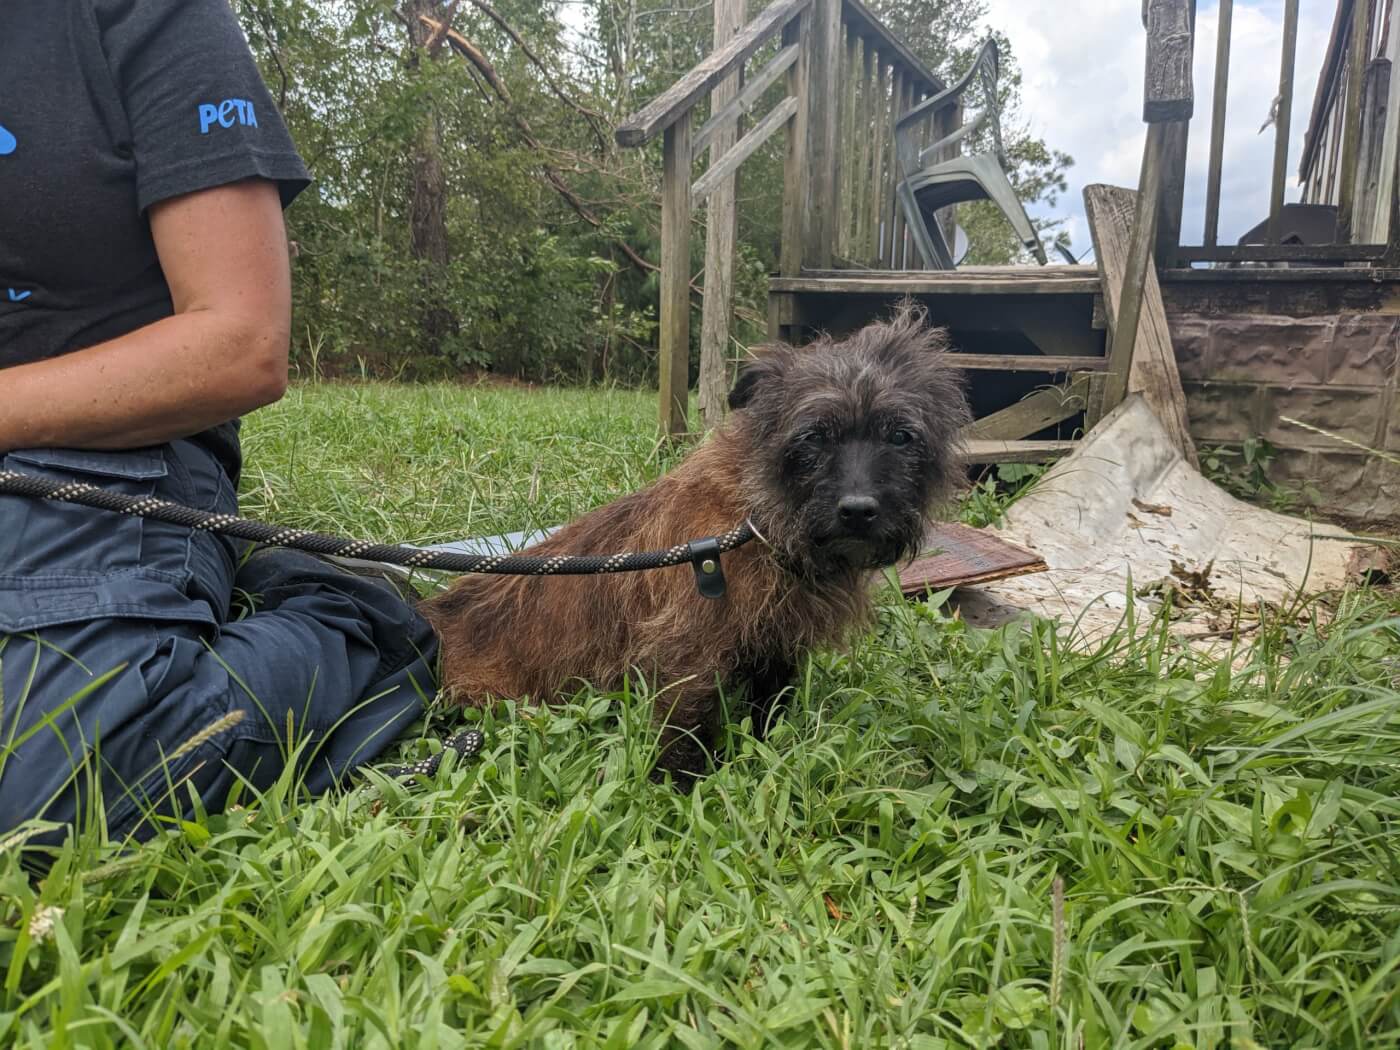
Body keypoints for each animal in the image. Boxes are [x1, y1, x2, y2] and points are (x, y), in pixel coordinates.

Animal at [420, 303, 968, 784]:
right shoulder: (688, 652)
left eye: (900, 436)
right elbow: (683, 732)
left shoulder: (775, 645)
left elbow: (769, 708)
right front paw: (682, 789)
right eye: (814, 436)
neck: (756, 520)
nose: (857, 511)